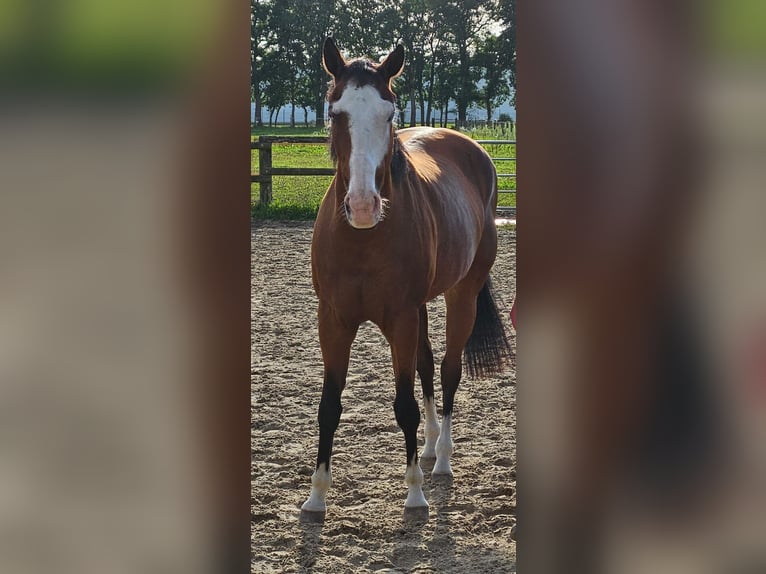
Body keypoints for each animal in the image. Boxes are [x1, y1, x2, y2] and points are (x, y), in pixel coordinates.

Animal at [304, 37, 512, 520]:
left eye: (389, 114)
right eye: (334, 112)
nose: (363, 206)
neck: (362, 239)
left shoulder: (399, 318)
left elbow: (404, 405)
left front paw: (415, 493)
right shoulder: (334, 320)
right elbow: (329, 406)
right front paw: (316, 497)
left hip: (461, 295)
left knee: (449, 370)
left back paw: (443, 460)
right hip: (419, 308)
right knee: (427, 364)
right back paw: (432, 447)